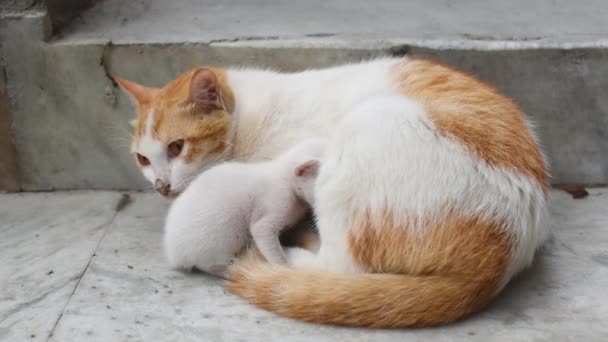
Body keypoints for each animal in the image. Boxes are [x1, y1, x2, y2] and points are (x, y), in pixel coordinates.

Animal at [162, 138, 324, 276]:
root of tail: (173, 254)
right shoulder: (272, 210)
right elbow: (270, 245)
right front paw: (284, 268)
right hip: (225, 236)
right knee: (206, 265)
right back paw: (228, 268)